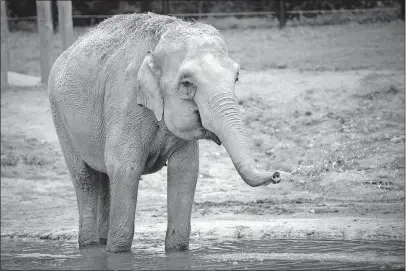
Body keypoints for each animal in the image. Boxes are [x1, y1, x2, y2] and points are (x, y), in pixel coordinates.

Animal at [47, 12, 290, 255]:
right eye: (186, 83)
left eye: (237, 78)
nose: (277, 174)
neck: (159, 41)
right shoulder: (124, 99)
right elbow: (125, 166)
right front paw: (118, 252)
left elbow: (185, 169)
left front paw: (177, 251)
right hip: (59, 116)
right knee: (85, 178)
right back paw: (89, 246)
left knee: (104, 177)